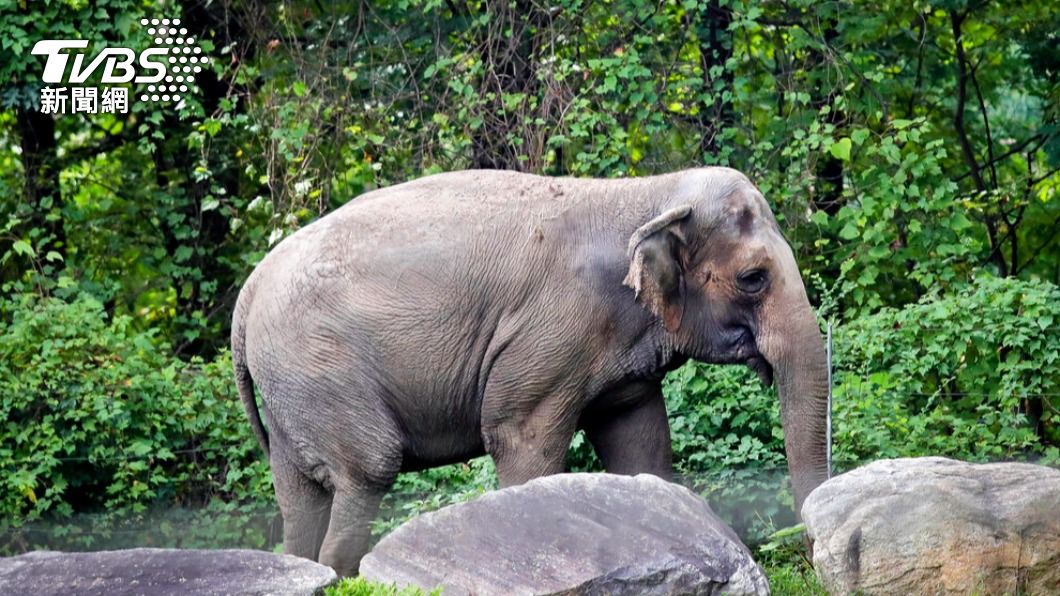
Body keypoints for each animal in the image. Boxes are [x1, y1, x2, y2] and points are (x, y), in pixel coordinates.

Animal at [231, 167, 828, 576]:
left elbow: (641, 446)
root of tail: (248, 292)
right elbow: (522, 440)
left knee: (299, 497)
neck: (646, 193)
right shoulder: (551, 334)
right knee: (367, 470)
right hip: (320, 368)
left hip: (290, 389)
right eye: (753, 278)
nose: (807, 550)